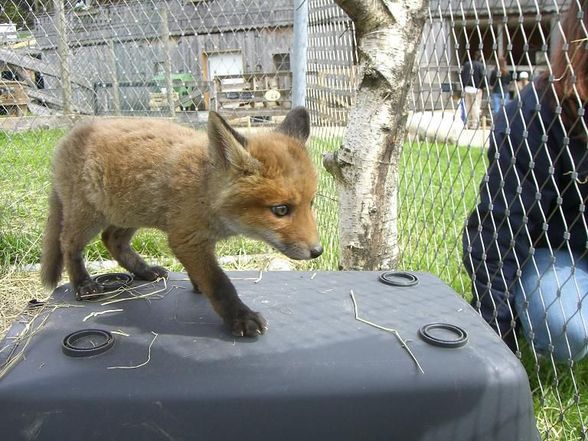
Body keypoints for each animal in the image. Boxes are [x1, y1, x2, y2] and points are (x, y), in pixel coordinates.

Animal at [40, 107, 322, 336]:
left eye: (310, 204)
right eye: (281, 210)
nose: (317, 251)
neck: (205, 190)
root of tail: (70, 135)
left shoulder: (198, 239)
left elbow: (205, 276)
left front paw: (198, 286)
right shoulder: (186, 239)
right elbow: (220, 283)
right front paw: (240, 317)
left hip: (129, 213)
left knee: (111, 240)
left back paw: (144, 270)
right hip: (88, 216)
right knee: (68, 243)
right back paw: (83, 284)